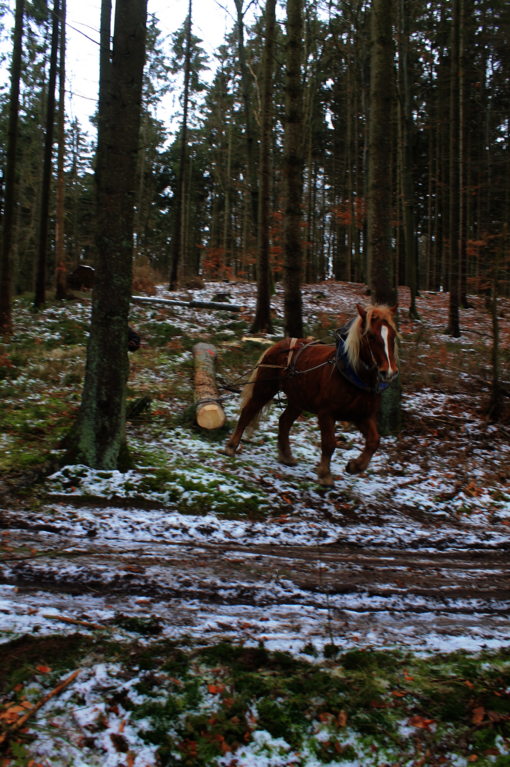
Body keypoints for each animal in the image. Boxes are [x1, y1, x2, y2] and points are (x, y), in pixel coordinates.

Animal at [226, 304, 398, 486]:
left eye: (393, 336)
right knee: (248, 412)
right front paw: (325, 475)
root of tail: (278, 345)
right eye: (371, 336)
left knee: (284, 422)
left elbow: (374, 441)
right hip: (265, 388)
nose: (389, 372)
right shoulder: (326, 413)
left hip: (297, 399)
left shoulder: (363, 415)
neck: (352, 374)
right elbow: (329, 443)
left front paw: (355, 466)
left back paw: (286, 455)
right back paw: (231, 446)